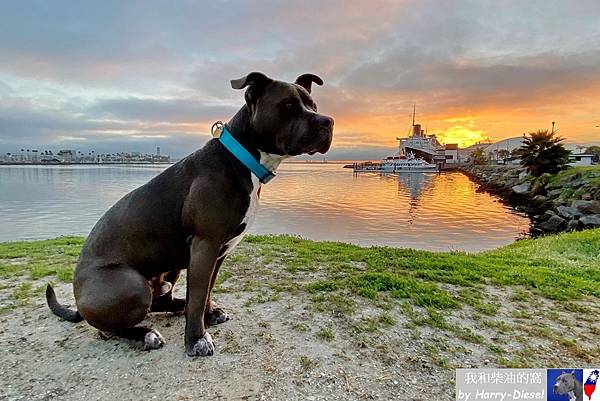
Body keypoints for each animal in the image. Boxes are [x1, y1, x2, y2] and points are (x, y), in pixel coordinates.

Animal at [47, 70, 336, 354]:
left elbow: (205, 291)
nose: (329, 121)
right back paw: (146, 335)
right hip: (131, 285)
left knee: (158, 302)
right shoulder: (205, 246)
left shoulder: (218, 253)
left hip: (171, 268)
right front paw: (197, 339)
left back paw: (177, 307)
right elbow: (198, 296)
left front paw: (208, 315)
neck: (243, 159)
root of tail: (78, 299)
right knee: (108, 329)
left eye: (313, 105)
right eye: (288, 105)